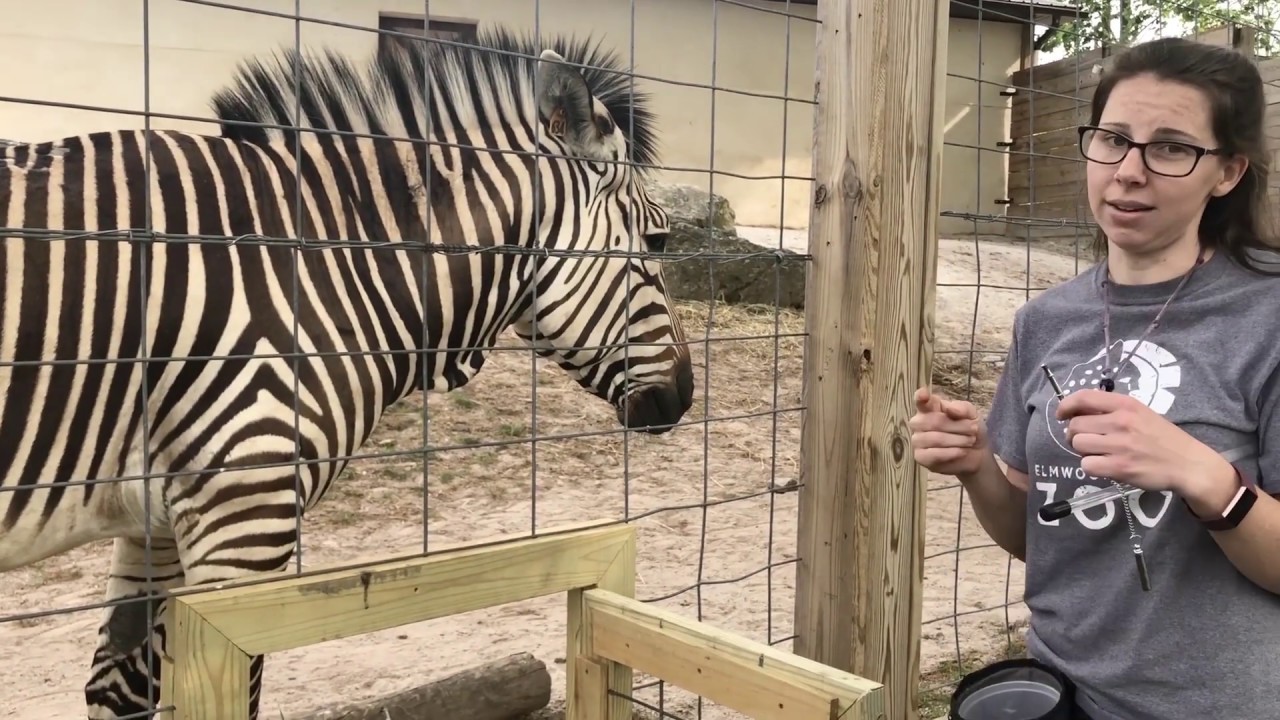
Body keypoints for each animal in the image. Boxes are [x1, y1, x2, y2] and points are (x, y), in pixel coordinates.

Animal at [0, 27, 694, 719]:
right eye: (658, 242)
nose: (685, 397)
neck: (328, 267)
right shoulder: (246, 513)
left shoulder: (159, 523)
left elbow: (119, 687)